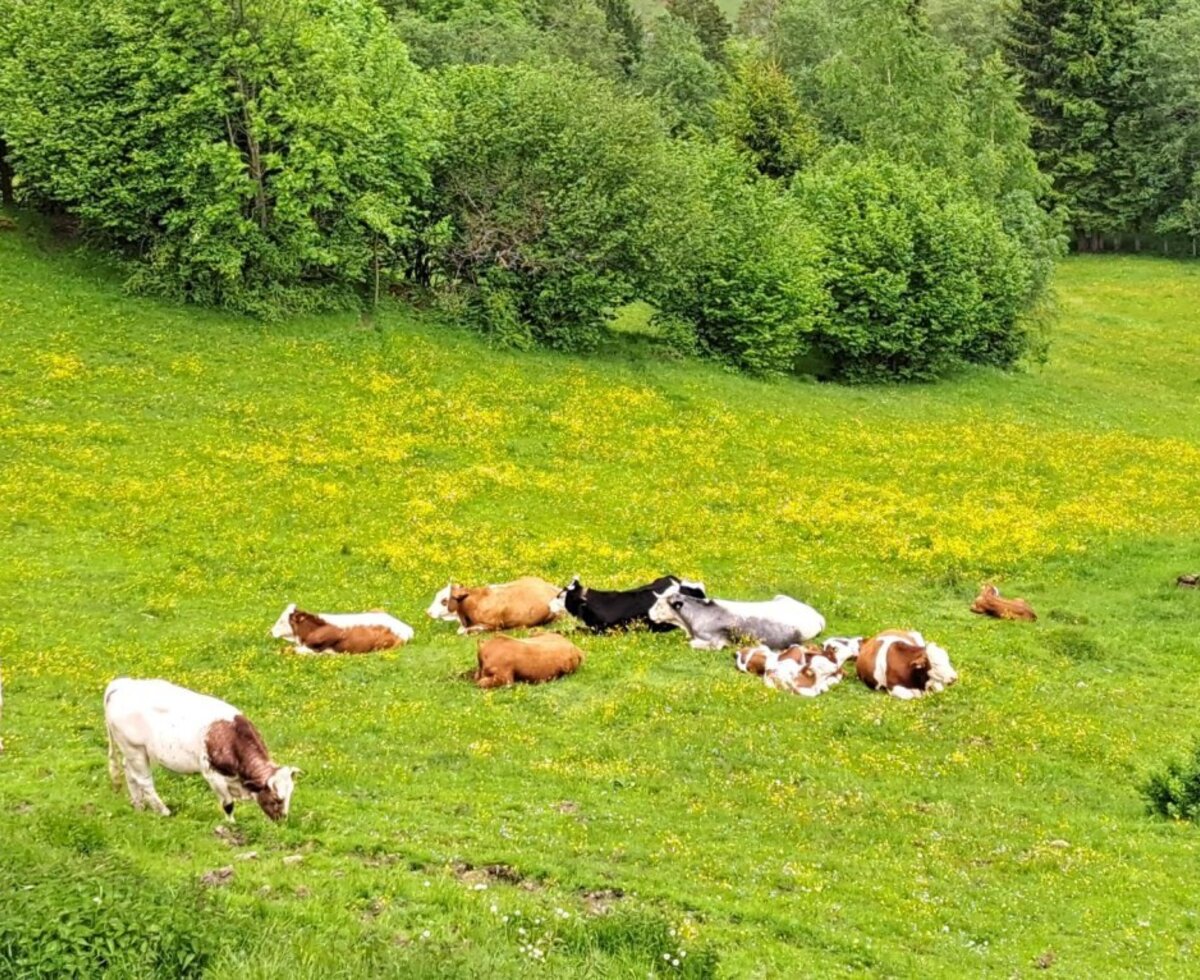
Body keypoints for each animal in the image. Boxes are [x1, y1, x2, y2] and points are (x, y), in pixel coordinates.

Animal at [104, 678, 299, 821]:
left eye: (290, 795)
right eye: (277, 799)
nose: (282, 821)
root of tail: (122, 684)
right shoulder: (212, 775)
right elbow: (228, 804)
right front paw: (231, 825)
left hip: (135, 750)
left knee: (130, 772)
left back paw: (138, 806)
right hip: (134, 748)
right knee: (144, 781)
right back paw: (164, 811)